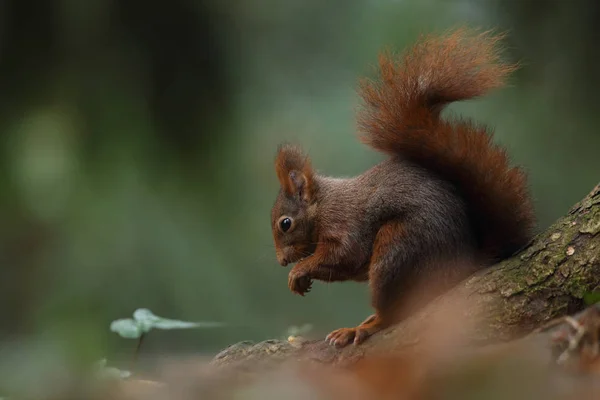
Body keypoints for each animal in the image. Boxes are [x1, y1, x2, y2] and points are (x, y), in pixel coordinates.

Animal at [270, 28, 536, 346]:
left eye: (285, 223)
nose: (282, 261)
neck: (324, 205)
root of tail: (463, 267)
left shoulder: (345, 223)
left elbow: (344, 255)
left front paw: (299, 271)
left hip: (397, 250)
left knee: (393, 313)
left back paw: (361, 328)